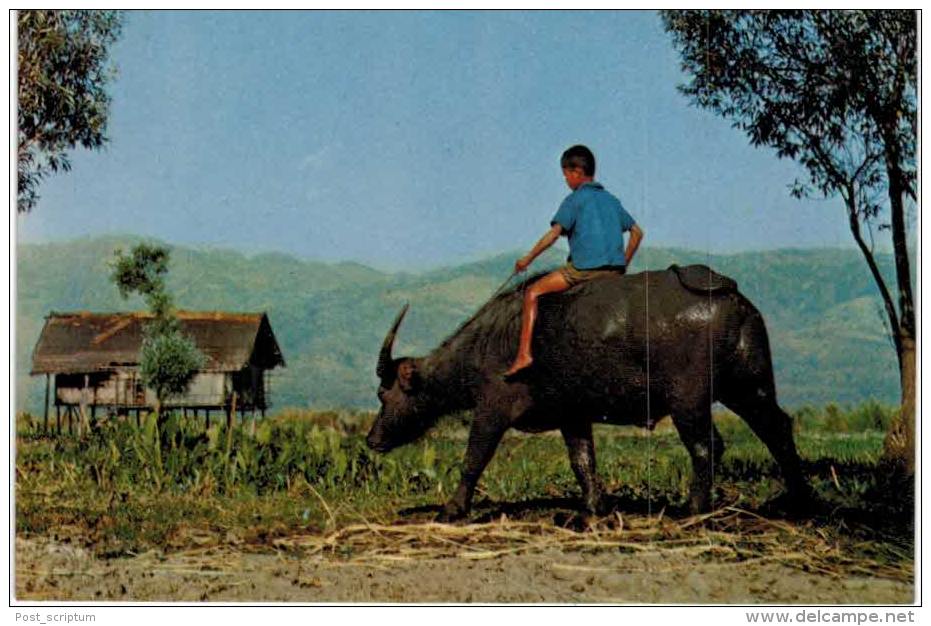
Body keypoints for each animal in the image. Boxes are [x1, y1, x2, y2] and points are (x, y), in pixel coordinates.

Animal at [364, 264, 808, 520]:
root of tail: (730, 294)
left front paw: (453, 509)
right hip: (749, 387)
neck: (488, 343)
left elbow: (473, 459)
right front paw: (596, 508)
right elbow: (582, 462)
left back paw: (692, 510)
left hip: (689, 399)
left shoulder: (492, 409)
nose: (372, 439)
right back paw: (799, 503)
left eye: (386, 395)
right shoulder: (572, 415)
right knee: (778, 430)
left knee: (707, 446)